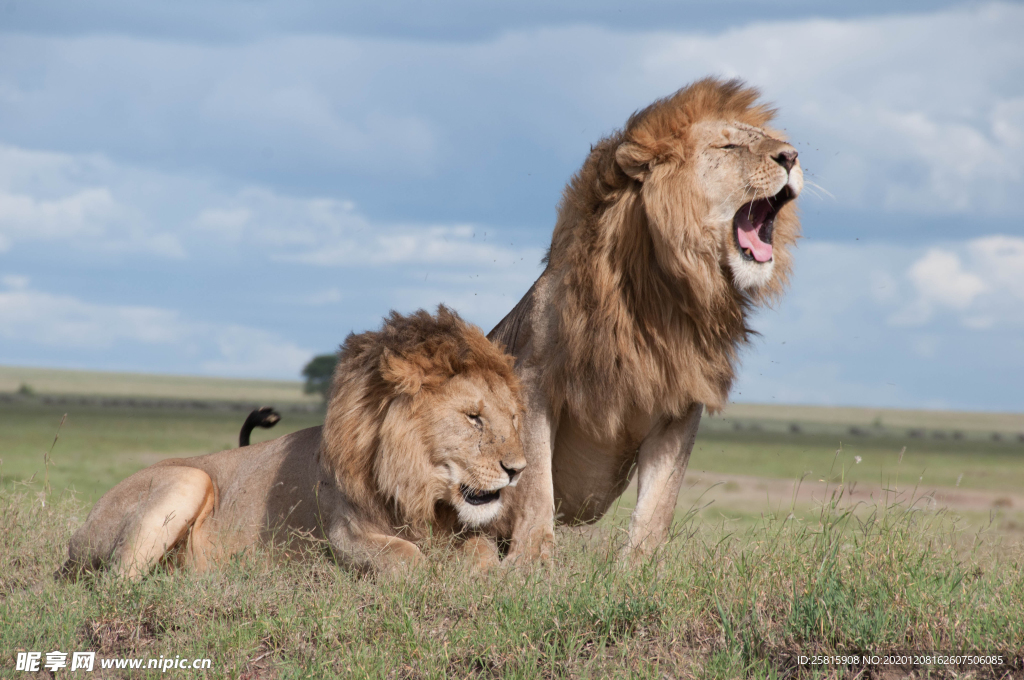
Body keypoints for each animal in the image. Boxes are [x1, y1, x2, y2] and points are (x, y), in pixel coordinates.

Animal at [66, 305, 528, 577]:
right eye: (473, 418)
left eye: (513, 417)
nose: (518, 470)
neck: (418, 490)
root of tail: (77, 537)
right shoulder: (342, 535)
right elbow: (406, 557)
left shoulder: (461, 530)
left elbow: (482, 552)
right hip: (187, 478)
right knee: (118, 582)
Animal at [491, 76, 802, 561]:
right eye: (729, 146)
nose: (791, 156)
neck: (662, 296)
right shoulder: (533, 381)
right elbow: (536, 484)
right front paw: (532, 562)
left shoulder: (681, 401)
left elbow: (659, 502)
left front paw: (639, 567)